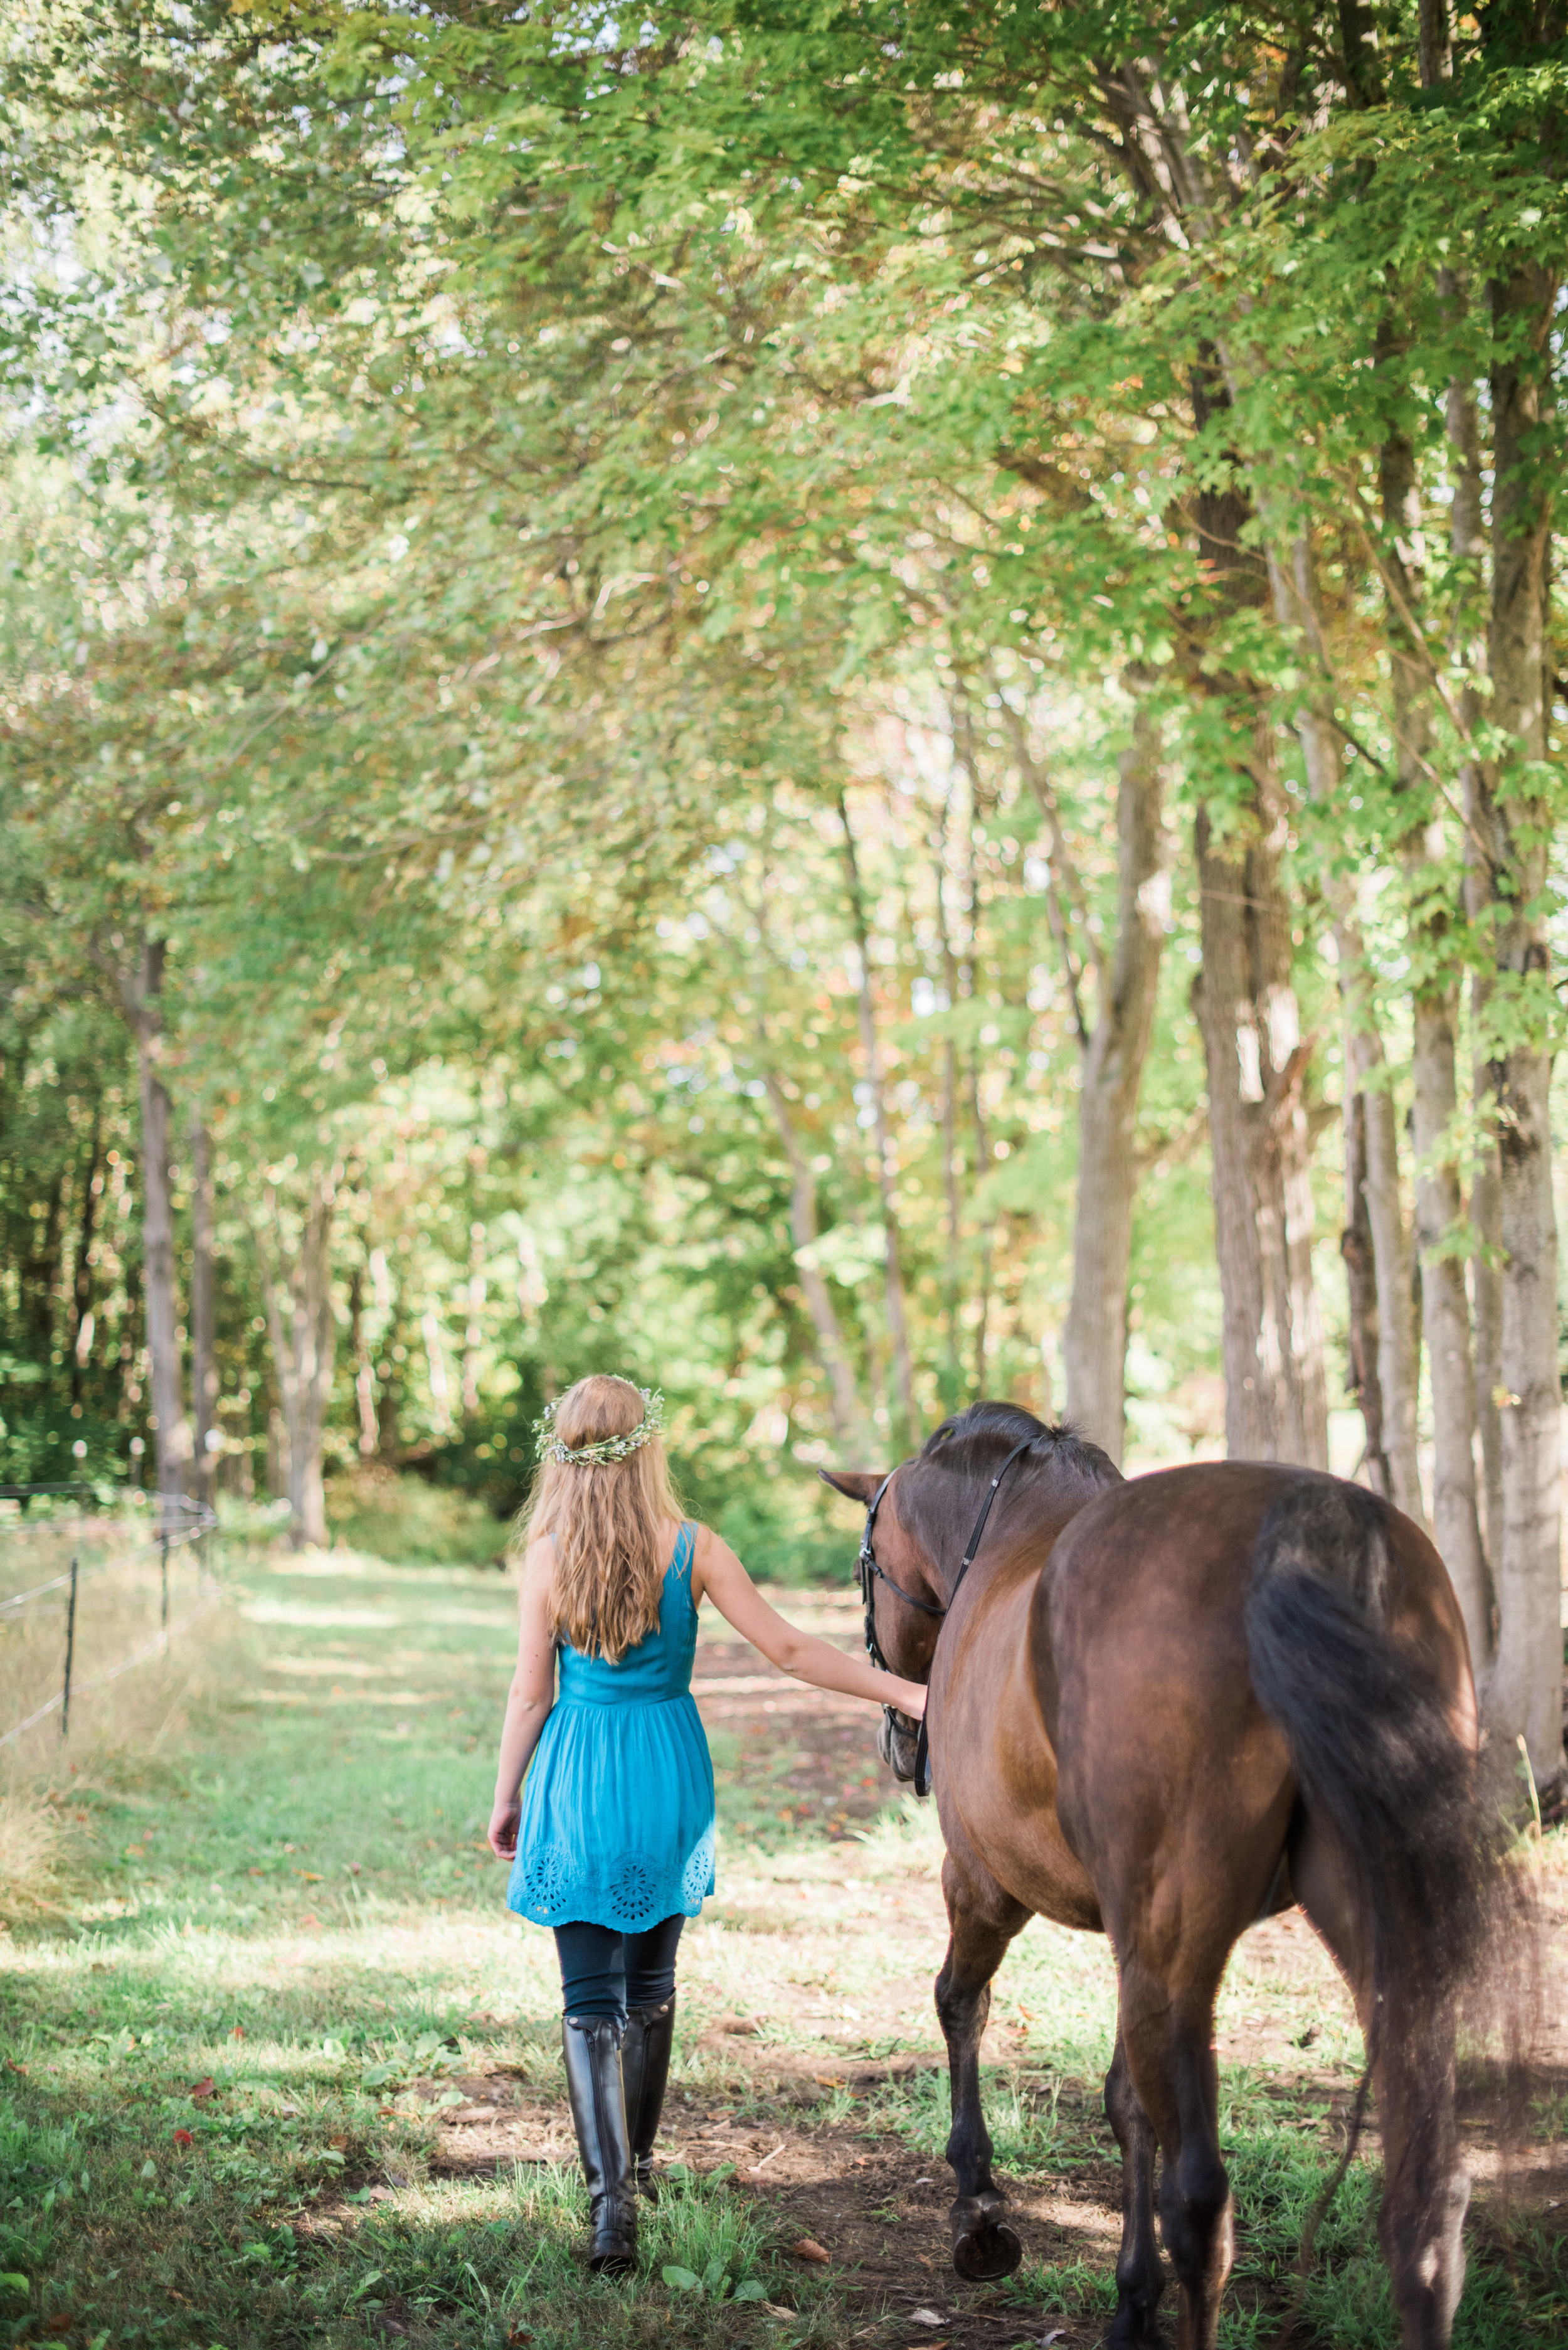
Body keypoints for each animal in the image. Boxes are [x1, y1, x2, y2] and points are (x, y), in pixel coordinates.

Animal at [822, 1400, 1495, 2341]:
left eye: (865, 1571)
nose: (896, 1739)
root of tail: (1311, 1535)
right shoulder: (1128, 1932)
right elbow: (1126, 2101)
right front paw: (1131, 2301)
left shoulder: (985, 1883)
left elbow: (961, 2004)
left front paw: (979, 2207)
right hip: (1372, 1928)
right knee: (1428, 2198)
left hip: (1174, 1946)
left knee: (1202, 2206)